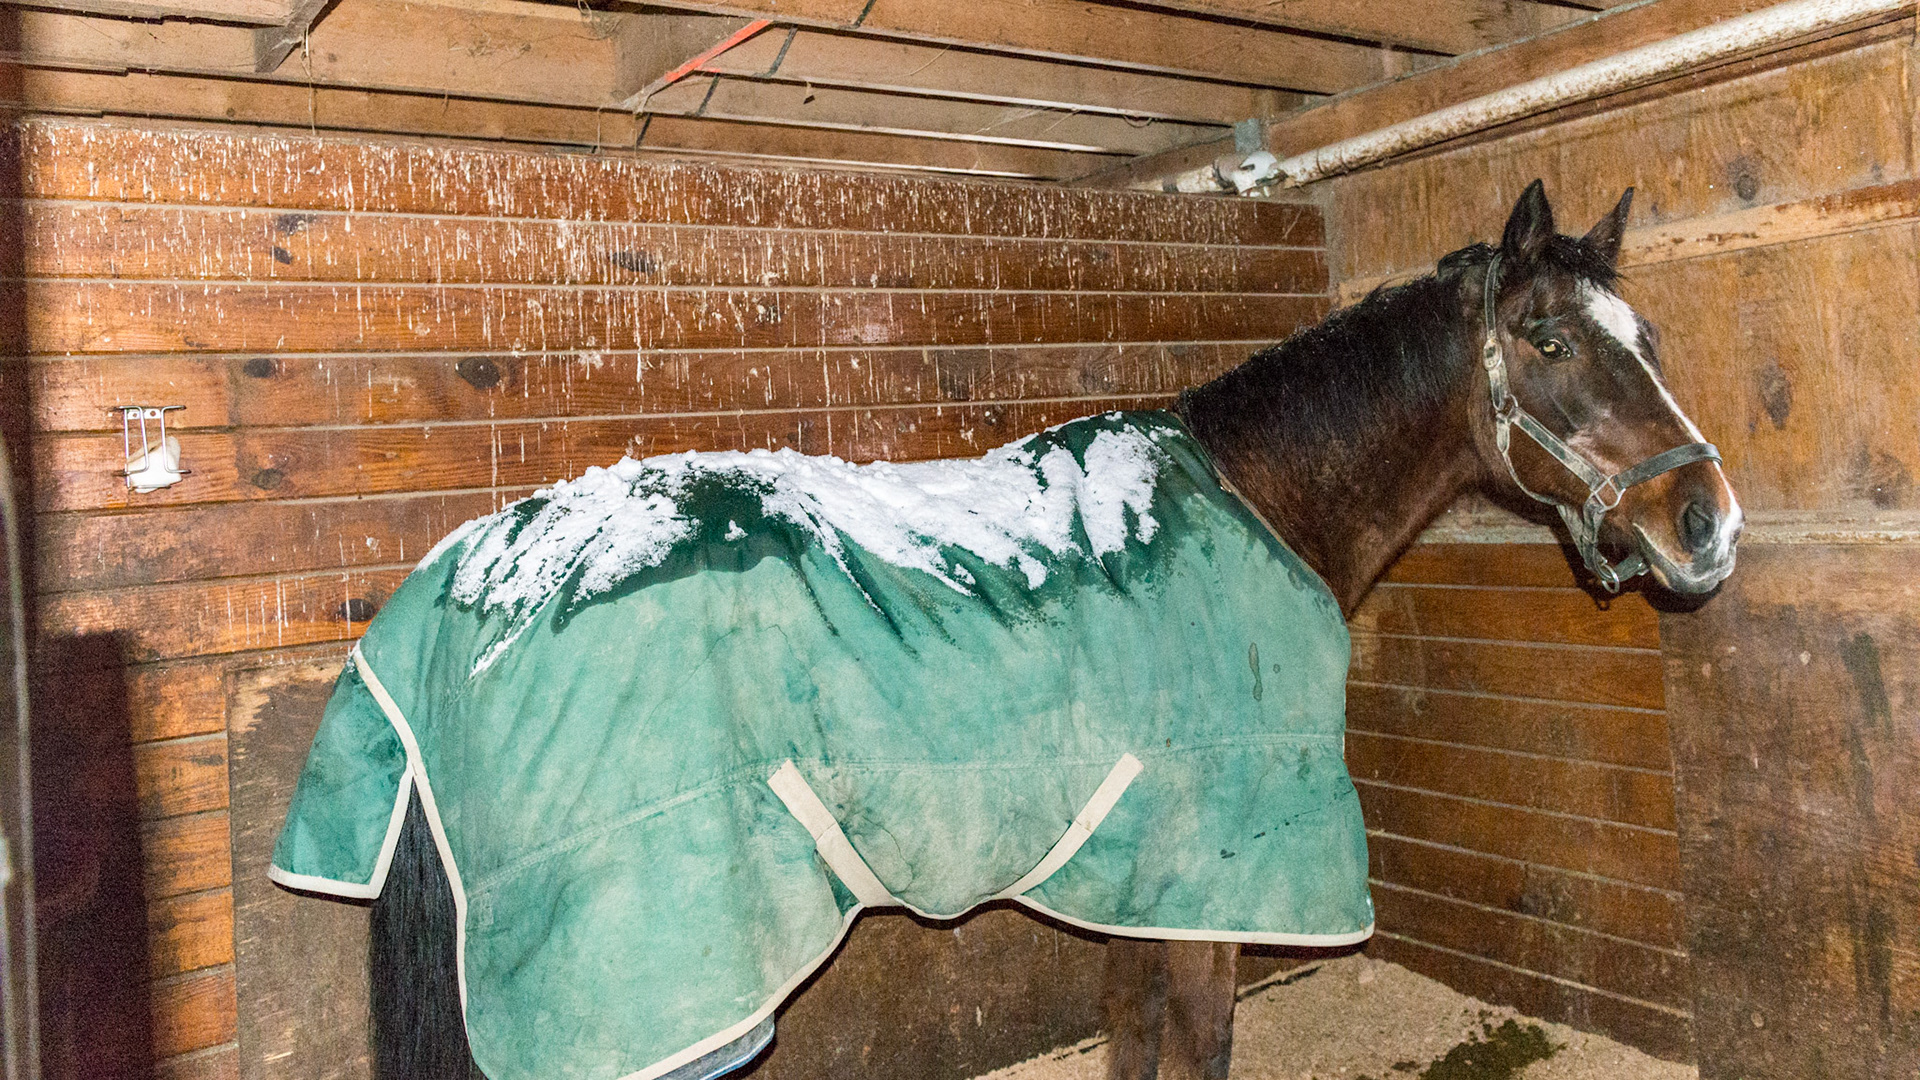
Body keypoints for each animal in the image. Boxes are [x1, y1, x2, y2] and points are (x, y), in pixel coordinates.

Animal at [306, 180, 1739, 1080]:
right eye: (1546, 340)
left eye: (1652, 335)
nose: (1704, 519)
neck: (1256, 500)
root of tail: (468, 582)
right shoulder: (1212, 878)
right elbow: (1198, 1046)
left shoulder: (1140, 882)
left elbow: (1131, 1039)